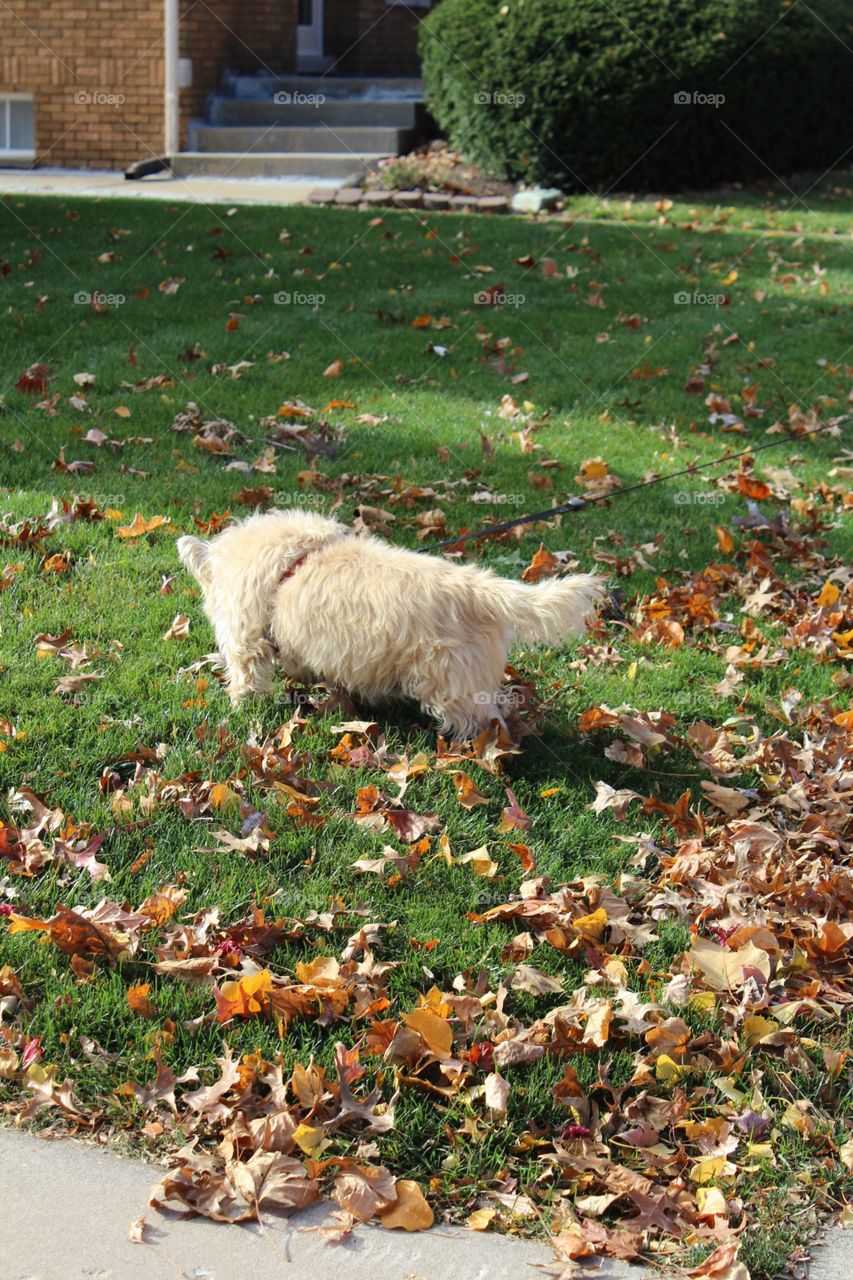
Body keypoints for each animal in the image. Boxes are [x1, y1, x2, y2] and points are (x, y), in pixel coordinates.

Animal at [175, 506, 601, 737]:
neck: (294, 558)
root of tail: (481, 589)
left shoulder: (246, 640)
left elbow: (244, 680)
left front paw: (237, 707)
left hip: (453, 685)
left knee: (483, 723)